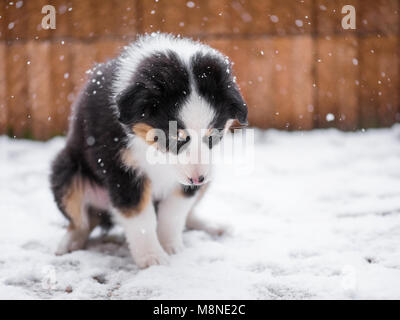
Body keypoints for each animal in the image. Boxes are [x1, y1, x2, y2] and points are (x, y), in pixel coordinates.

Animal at [50, 33, 247, 268]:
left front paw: (171, 247)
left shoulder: (192, 175)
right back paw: (68, 243)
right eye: (176, 136)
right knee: (82, 221)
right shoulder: (122, 169)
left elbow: (174, 212)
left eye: (213, 135)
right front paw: (152, 258)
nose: (197, 179)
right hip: (66, 171)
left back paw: (213, 225)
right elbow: (140, 218)